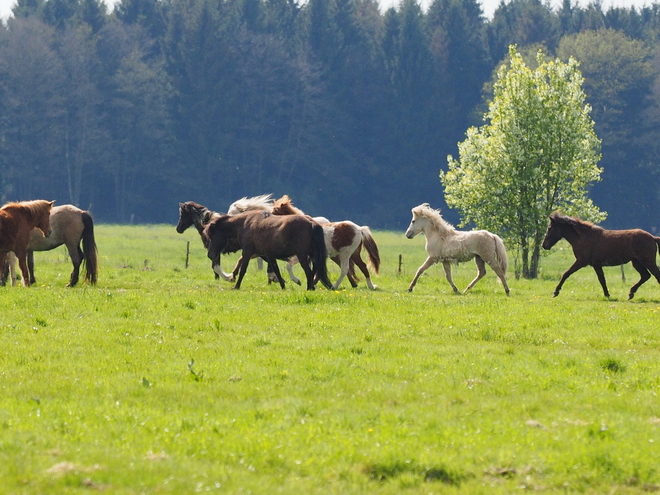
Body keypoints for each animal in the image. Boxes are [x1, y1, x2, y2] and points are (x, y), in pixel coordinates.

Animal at [202, 210, 336, 290]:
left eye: (212, 236)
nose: (210, 255)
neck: (245, 223)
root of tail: (311, 222)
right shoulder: (268, 255)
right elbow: (276, 271)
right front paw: (283, 286)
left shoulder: (247, 252)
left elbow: (243, 270)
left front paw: (236, 286)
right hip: (312, 255)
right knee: (314, 271)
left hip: (302, 255)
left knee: (308, 272)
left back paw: (309, 288)